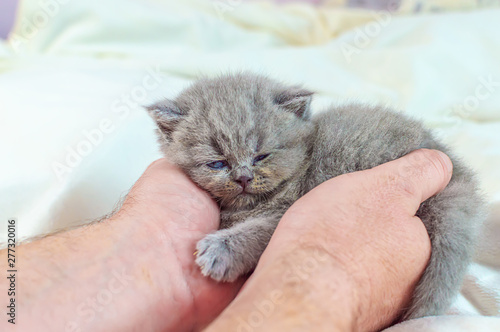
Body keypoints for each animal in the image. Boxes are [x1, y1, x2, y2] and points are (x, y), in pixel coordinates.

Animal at [147, 73, 484, 320]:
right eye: (217, 163)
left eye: (261, 156)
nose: (242, 178)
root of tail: (459, 175)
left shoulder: (285, 210)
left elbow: (258, 232)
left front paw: (221, 251)